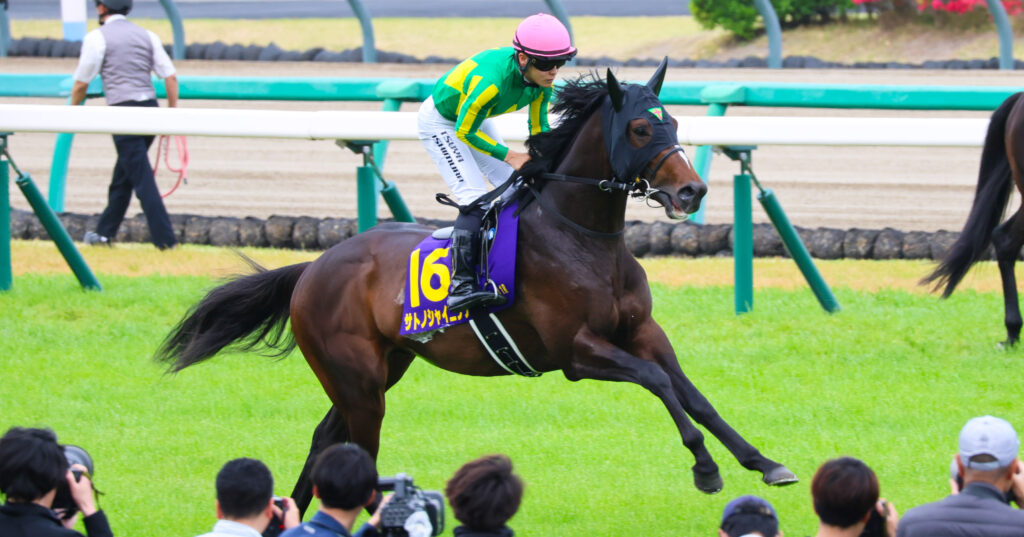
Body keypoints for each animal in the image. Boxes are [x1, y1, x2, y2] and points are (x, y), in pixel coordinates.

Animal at [156, 61, 798, 515]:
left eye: (676, 123)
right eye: (641, 127)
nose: (692, 191)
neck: (583, 235)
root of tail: (312, 267)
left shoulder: (642, 331)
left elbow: (692, 393)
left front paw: (764, 462)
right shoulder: (576, 353)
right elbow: (659, 383)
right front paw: (705, 469)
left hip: (380, 369)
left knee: (324, 441)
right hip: (359, 382)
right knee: (357, 451)